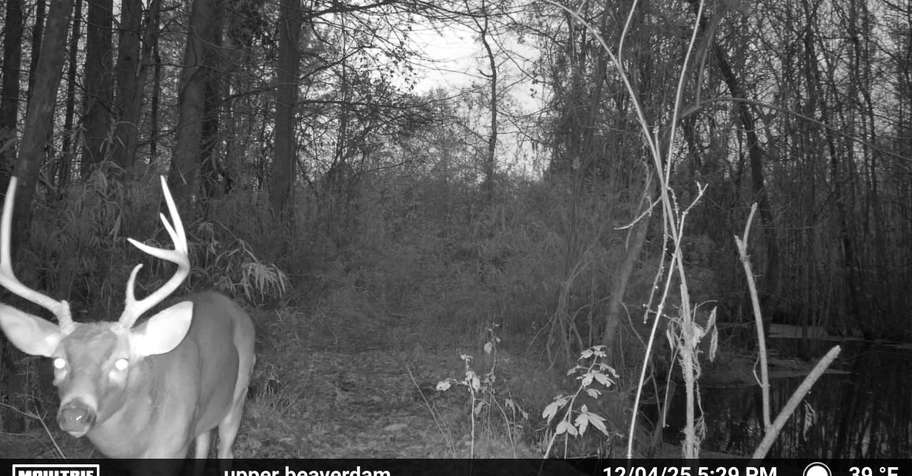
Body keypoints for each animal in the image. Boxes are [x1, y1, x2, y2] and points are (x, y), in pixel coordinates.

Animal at [0, 176, 255, 458]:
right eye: (58, 361)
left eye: (122, 362)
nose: (74, 415)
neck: (135, 443)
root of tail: (232, 305)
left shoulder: (174, 444)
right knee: (203, 442)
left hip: (239, 394)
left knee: (226, 448)